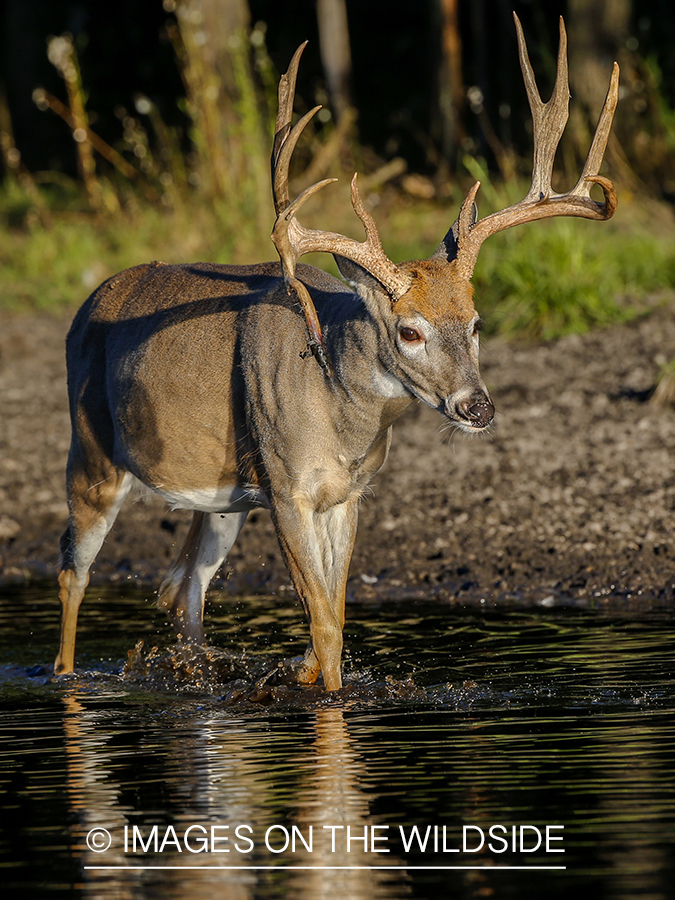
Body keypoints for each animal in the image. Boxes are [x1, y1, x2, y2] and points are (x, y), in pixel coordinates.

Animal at [55, 12, 620, 688]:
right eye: (409, 330)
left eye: (477, 321)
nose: (477, 406)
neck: (338, 413)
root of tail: (87, 304)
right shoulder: (286, 489)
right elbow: (323, 626)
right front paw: (328, 697)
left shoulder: (346, 495)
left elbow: (338, 618)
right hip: (91, 454)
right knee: (73, 571)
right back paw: (64, 676)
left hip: (220, 500)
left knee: (183, 587)